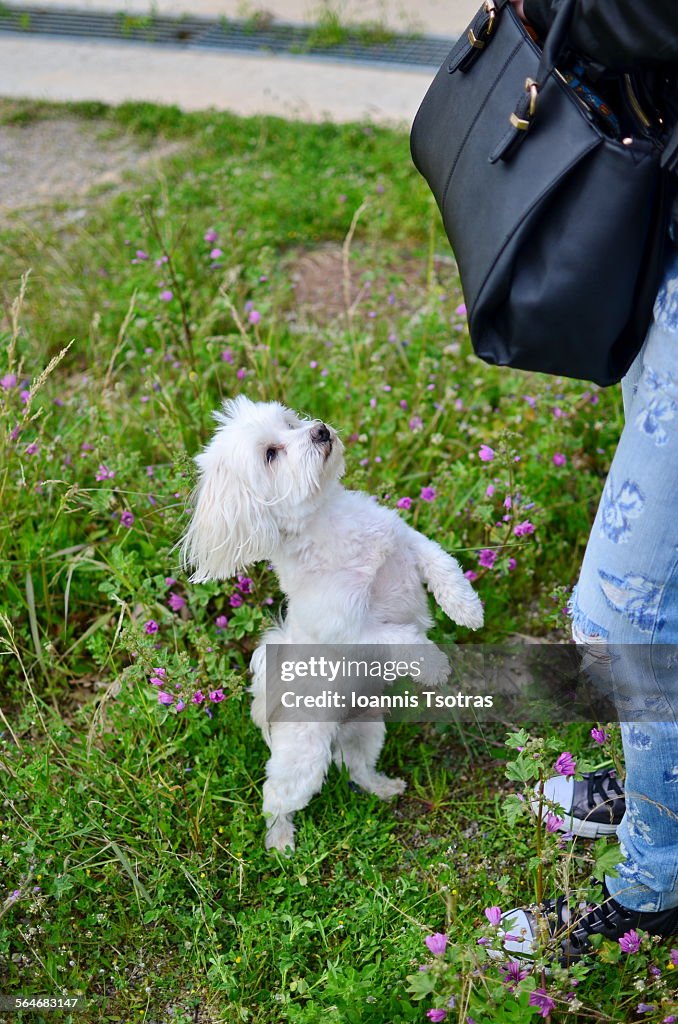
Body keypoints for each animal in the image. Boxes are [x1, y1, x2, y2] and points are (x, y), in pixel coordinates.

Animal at [183, 395, 485, 851]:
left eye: (290, 422)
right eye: (271, 454)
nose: (320, 430)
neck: (327, 523)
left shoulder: (407, 542)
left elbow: (443, 565)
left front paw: (467, 608)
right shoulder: (348, 629)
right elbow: (401, 636)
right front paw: (433, 665)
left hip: (366, 729)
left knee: (354, 766)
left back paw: (381, 787)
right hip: (302, 760)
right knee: (276, 797)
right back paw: (281, 842)